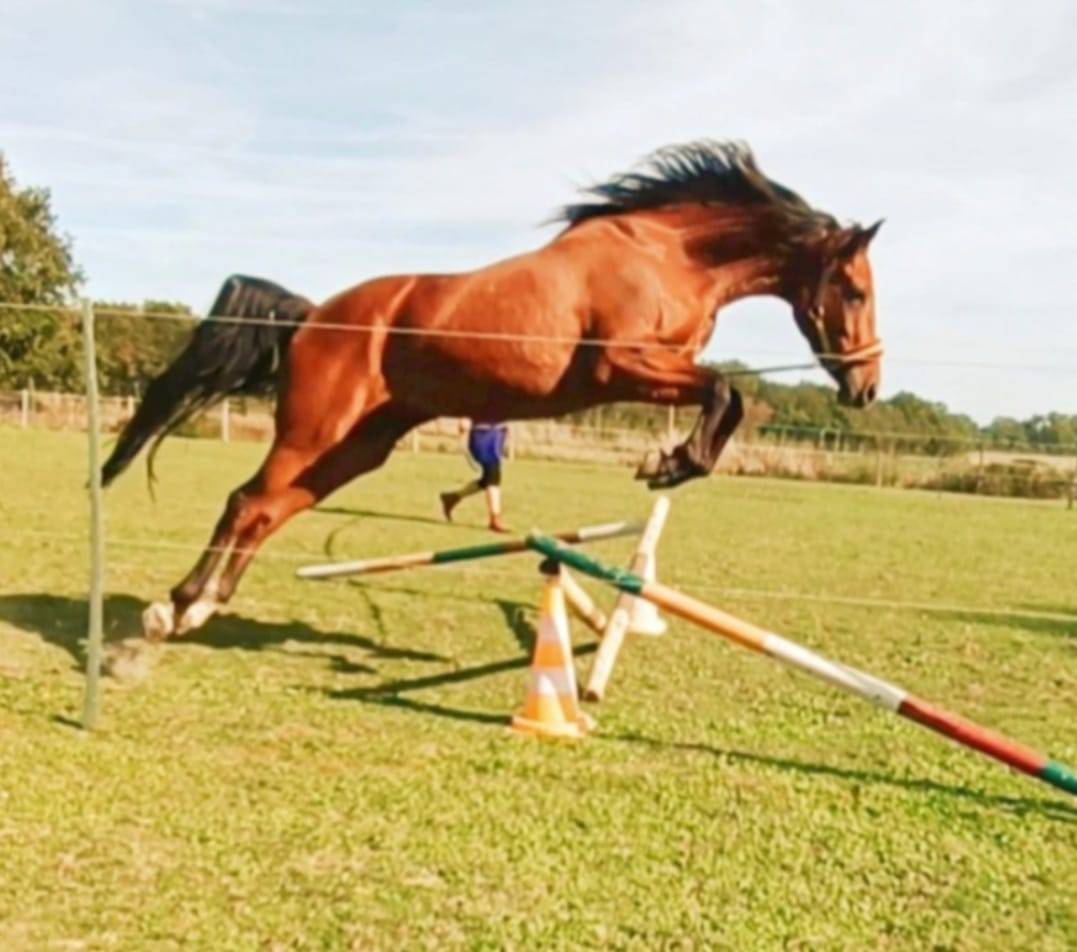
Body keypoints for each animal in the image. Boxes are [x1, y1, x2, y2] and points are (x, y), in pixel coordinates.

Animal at [101, 140, 883, 637]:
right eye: (853, 289)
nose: (867, 386)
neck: (668, 257)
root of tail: (313, 316)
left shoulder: (651, 376)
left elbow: (726, 399)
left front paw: (669, 463)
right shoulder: (621, 367)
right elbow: (725, 393)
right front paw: (668, 464)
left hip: (357, 448)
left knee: (266, 511)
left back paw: (200, 608)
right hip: (315, 431)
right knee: (246, 502)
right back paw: (175, 608)